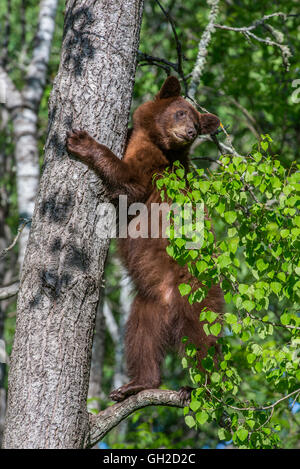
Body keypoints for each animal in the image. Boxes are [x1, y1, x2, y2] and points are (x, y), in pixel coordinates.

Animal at [67, 75, 224, 400]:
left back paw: (203, 387)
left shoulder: (154, 167)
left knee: (203, 339)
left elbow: (129, 180)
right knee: (141, 339)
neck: (153, 140)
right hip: (148, 304)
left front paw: (82, 142)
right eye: (181, 112)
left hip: (195, 293)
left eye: (195, 121)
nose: (190, 132)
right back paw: (136, 384)